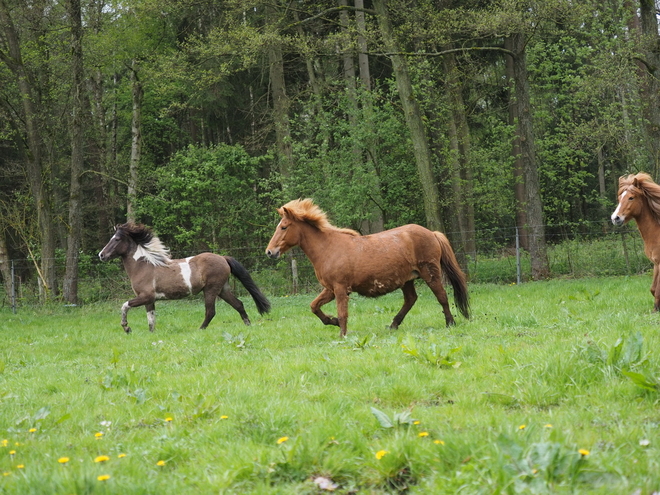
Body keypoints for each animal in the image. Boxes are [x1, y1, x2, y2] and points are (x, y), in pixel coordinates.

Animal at [97, 224, 270, 334]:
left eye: (116, 239)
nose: (101, 255)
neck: (143, 266)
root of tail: (223, 258)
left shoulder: (145, 296)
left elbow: (125, 306)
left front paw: (127, 328)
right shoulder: (149, 299)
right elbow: (151, 318)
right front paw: (151, 334)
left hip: (211, 289)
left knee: (210, 311)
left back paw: (200, 330)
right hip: (223, 289)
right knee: (239, 304)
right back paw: (248, 325)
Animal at [264, 200, 470, 340]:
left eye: (284, 227)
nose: (270, 252)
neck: (328, 248)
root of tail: (432, 233)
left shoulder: (340, 289)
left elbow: (343, 313)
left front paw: (342, 335)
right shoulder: (330, 289)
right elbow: (314, 306)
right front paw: (332, 321)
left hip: (430, 273)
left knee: (442, 296)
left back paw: (450, 323)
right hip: (407, 279)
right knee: (411, 299)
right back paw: (393, 325)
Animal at [612, 170, 660, 310]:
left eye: (631, 197)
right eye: (619, 198)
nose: (615, 218)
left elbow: (657, 290)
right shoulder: (656, 264)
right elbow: (653, 289)